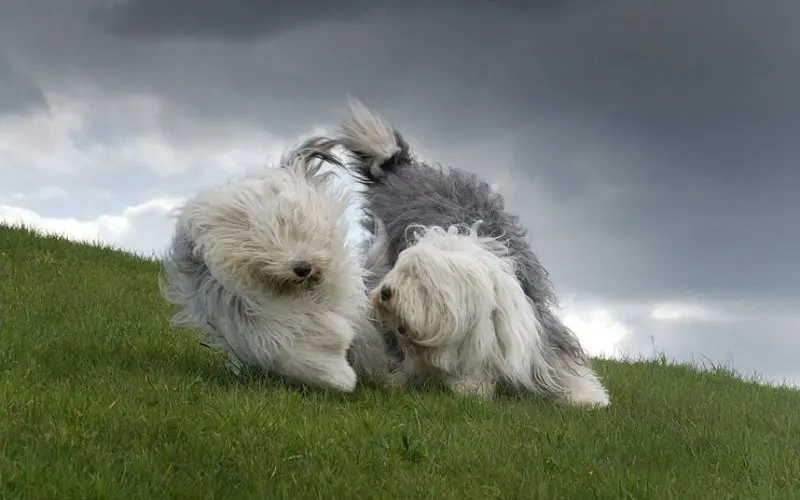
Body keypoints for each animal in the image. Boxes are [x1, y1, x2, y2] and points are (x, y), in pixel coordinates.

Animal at [157, 139, 394, 392]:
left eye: (305, 230)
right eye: (267, 242)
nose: (303, 268)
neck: (291, 292)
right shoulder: (262, 323)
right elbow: (303, 348)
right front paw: (338, 376)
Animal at [316, 100, 608, 406]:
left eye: (422, 282)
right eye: (402, 270)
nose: (385, 293)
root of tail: (403, 169)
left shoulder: (528, 321)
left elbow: (557, 357)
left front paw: (586, 396)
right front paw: (470, 387)